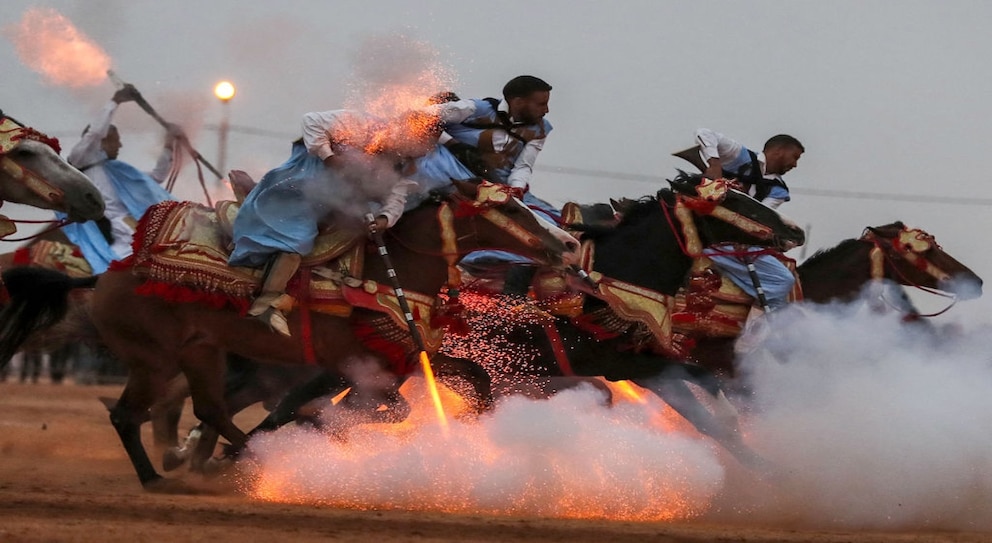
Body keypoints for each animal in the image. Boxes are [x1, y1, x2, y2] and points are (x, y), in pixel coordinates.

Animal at [0, 180, 580, 492]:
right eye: (507, 207)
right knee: (130, 415)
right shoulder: (355, 366)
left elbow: (474, 381)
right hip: (153, 359)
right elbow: (378, 410)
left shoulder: (401, 357)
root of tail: (103, 274)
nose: (570, 244)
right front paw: (313, 426)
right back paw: (169, 476)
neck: (386, 276)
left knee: (209, 410)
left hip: (200, 353)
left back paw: (232, 460)